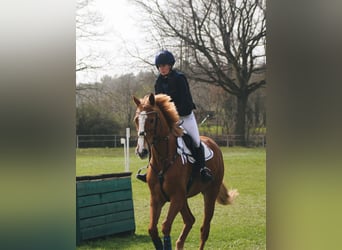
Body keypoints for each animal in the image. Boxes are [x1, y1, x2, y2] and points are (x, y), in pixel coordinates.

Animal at [133, 94, 238, 250]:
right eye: (136, 120)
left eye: (151, 120)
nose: (142, 151)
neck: (163, 160)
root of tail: (213, 143)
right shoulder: (157, 198)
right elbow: (152, 229)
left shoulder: (176, 197)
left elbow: (165, 226)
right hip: (184, 198)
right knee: (190, 220)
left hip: (209, 193)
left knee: (204, 229)